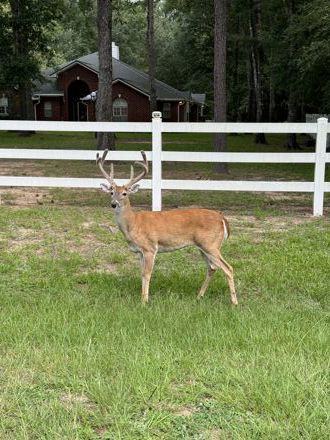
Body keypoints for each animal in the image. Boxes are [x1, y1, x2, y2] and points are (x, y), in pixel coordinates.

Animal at [95, 150, 237, 304]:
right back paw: (199, 296)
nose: (114, 204)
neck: (133, 224)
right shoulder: (139, 251)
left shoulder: (150, 247)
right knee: (212, 267)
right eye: (111, 192)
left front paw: (144, 301)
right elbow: (141, 273)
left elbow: (147, 274)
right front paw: (142, 297)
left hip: (211, 244)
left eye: (124, 193)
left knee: (228, 268)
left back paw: (234, 302)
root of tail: (223, 219)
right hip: (203, 246)